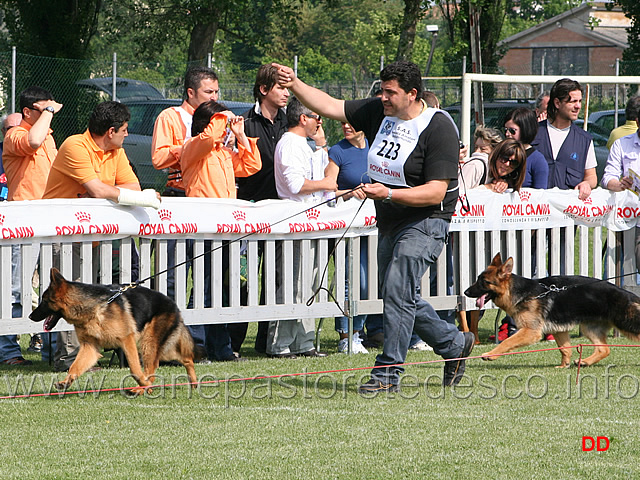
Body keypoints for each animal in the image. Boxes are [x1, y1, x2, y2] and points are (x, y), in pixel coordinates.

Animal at [28, 268, 198, 392]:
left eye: (44, 301)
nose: (30, 316)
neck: (94, 309)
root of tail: (174, 304)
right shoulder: (89, 348)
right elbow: (74, 366)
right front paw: (66, 382)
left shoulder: (127, 341)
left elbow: (135, 369)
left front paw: (143, 383)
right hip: (158, 347)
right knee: (186, 360)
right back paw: (193, 383)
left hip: (148, 345)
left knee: (154, 370)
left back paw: (142, 388)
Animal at [464, 253, 640, 366]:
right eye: (478, 279)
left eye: (484, 282)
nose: (465, 292)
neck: (522, 293)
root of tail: (628, 294)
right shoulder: (558, 330)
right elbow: (565, 349)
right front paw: (563, 366)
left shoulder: (530, 331)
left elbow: (508, 342)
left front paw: (490, 355)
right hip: (589, 328)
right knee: (604, 349)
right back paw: (584, 362)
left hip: (626, 323)